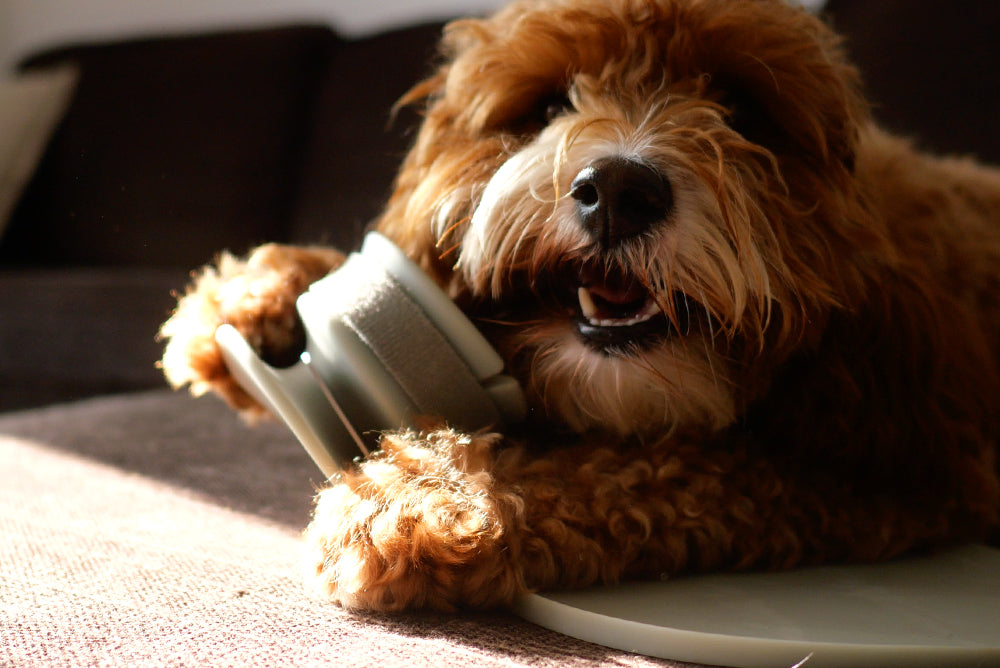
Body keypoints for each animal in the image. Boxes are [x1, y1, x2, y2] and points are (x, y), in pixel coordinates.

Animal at [158, 0, 1000, 612]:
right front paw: (259, 288)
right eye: (549, 105)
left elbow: (651, 469)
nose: (620, 191)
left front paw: (422, 498)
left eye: (738, 108)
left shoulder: (891, 478)